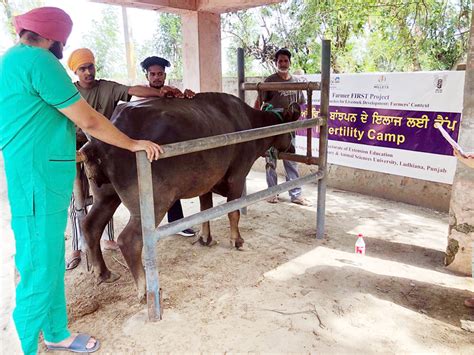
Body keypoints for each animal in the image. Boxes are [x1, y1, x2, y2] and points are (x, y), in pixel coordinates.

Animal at [81, 93, 300, 302]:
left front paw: (205, 238)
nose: (293, 149)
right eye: (291, 129)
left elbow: (205, 210)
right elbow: (233, 212)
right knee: (129, 240)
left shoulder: (206, 182)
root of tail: (98, 143)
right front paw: (237, 241)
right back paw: (145, 290)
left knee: (91, 225)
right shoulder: (237, 177)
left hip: (106, 196)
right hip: (152, 203)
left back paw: (103, 273)